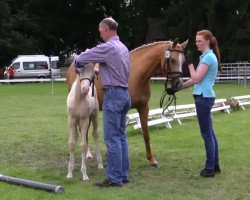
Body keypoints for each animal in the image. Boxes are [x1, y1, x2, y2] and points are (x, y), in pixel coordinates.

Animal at [66, 38, 188, 166]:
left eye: (183, 60)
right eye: (173, 60)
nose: (178, 83)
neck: (136, 75)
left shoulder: (143, 108)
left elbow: (146, 134)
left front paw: (151, 159)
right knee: (83, 130)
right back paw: (88, 154)